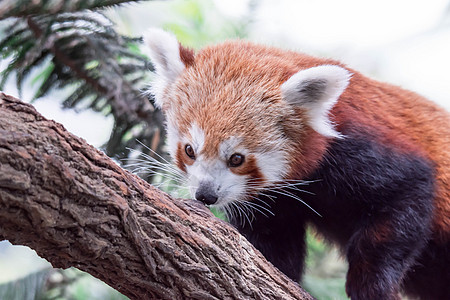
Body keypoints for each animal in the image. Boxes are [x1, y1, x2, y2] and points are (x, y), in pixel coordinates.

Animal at [143, 28, 450, 300]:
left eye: (237, 158)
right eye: (189, 150)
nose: (206, 195)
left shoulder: (367, 151)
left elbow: (405, 200)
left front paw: (372, 286)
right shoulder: (273, 203)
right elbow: (273, 244)